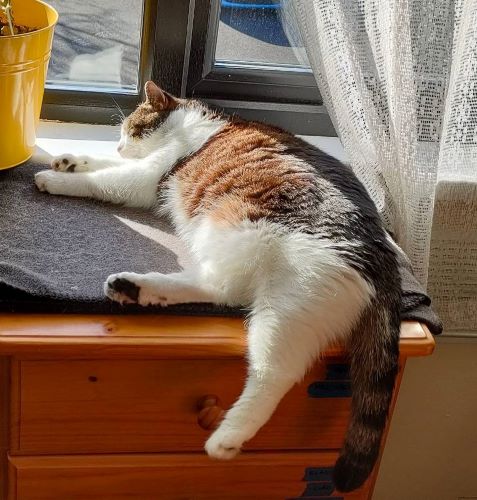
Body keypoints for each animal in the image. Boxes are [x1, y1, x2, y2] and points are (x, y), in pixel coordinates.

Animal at [34, 82, 402, 492]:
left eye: (130, 129)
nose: (118, 146)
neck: (192, 121)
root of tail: (384, 262)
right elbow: (103, 166)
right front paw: (70, 159)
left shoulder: (146, 179)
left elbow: (107, 180)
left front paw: (57, 178)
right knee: (217, 288)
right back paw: (132, 287)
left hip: (288, 302)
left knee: (273, 372)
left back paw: (227, 438)